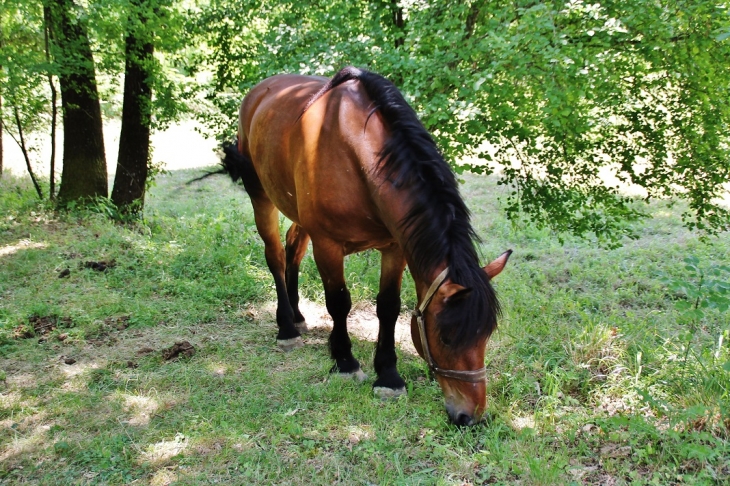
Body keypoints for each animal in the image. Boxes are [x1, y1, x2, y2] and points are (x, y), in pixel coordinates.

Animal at [219, 65, 510, 426]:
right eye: (445, 337)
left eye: (487, 334)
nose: (470, 416)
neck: (355, 151)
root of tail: (258, 93)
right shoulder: (328, 245)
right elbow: (339, 302)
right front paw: (345, 362)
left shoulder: (395, 247)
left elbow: (388, 306)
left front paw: (388, 376)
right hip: (261, 196)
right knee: (275, 256)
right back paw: (287, 327)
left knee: (292, 248)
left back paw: (298, 316)